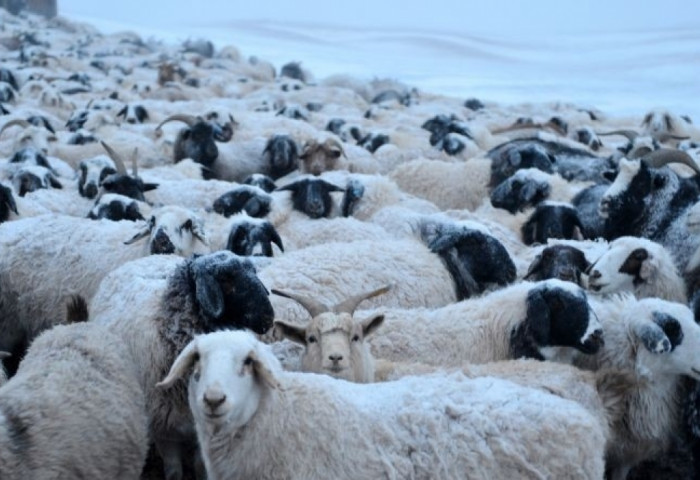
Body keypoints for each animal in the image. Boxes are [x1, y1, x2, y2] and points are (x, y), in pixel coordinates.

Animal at [91, 249, 278, 480]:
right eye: (226, 278)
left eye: (253, 270)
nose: (268, 317)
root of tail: (150, 256)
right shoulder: (162, 426)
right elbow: (173, 470)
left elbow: (200, 466)